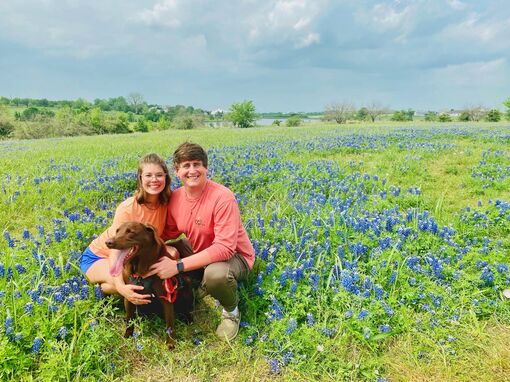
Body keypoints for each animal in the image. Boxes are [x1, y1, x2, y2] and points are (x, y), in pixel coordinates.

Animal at [104, 221, 192, 350]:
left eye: (131, 231)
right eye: (117, 231)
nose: (108, 242)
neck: (141, 272)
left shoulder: (166, 297)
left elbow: (170, 324)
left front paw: (170, 342)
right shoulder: (128, 295)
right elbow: (129, 321)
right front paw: (127, 336)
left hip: (186, 285)